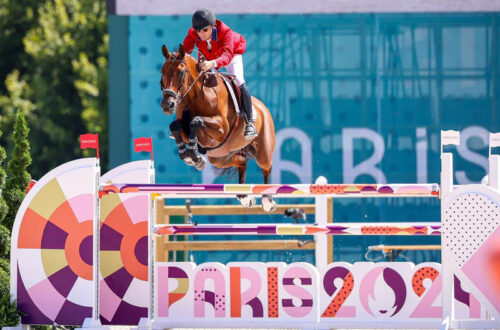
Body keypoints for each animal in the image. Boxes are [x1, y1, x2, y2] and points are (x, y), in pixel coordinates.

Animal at [160, 44, 278, 211]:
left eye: (181, 72)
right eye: (162, 72)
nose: (167, 105)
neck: (199, 94)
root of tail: (263, 107)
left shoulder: (221, 129)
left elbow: (196, 121)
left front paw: (194, 156)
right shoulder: (185, 129)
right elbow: (175, 126)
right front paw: (190, 156)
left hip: (263, 150)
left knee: (267, 166)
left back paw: (267, 200)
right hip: (220, 156)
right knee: (241, 161)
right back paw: (244, 196)